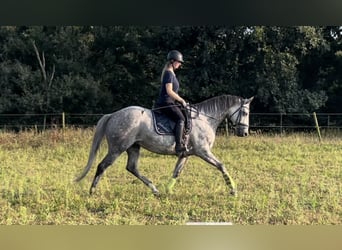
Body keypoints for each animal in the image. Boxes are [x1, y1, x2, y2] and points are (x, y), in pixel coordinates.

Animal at [76, 94, 255, 196]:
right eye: (245, 112)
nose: (244, 133)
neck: (204, 118)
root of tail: (113, 115)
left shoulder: (186, 154)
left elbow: (177, 172)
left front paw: (168, 190)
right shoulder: (203, 151)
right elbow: (221, 166)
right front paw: (233, 190)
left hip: (133, 147)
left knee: (132, 168)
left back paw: (155, 190)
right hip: (117, 148)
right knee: (102, 166)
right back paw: (92, 191)